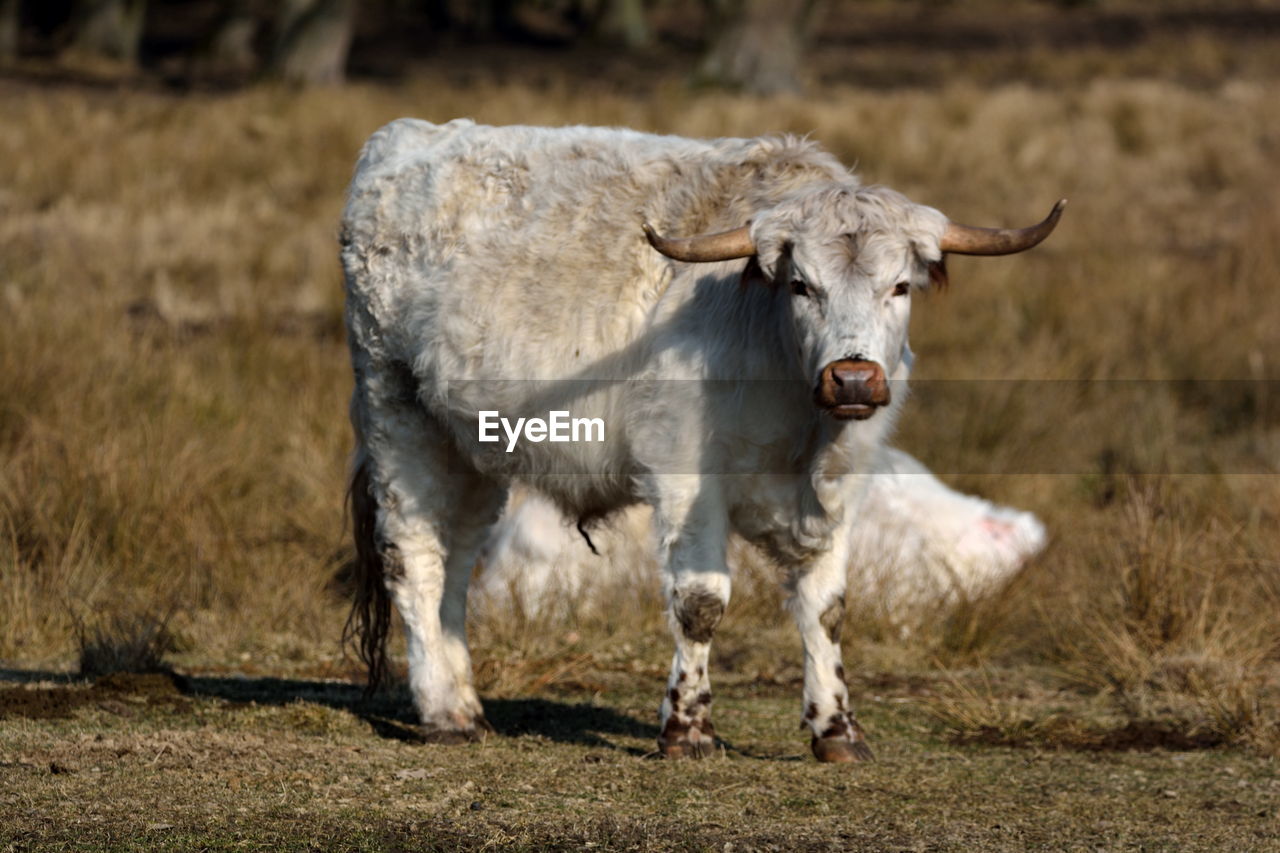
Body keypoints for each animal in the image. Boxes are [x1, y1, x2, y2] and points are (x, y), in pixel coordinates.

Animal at [337, 117, 1059, 758]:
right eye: (802, 285)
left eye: (900, 285)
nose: (852, 378)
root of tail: (406, 137)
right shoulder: (686, 476)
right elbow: (701, 603)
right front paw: (687, 730)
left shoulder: (842, 486)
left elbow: (826, 607)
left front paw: (837, 728)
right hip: (397, 413)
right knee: (414, 561)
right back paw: (443, 713)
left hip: (470, 450)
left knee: (455, 565)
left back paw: (463, 700)